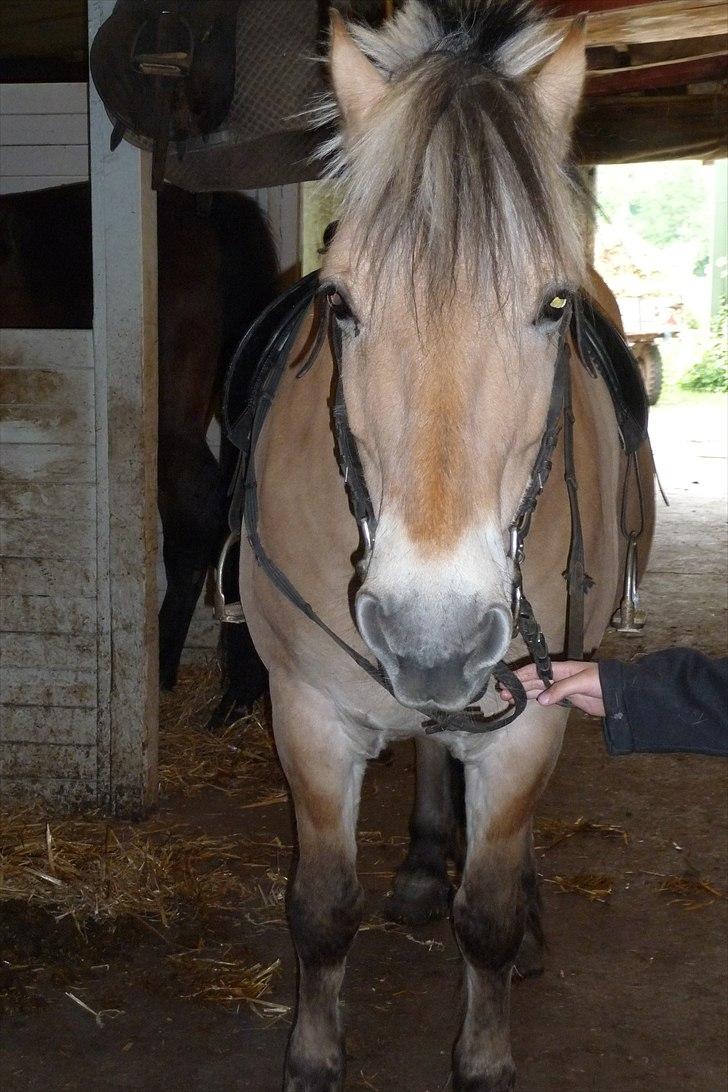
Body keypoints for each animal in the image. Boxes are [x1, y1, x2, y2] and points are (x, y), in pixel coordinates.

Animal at [239, 4, 654, 1087]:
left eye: (552, 306)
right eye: (341, 303)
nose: (431, 638)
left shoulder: (526, 722)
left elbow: (490, 917)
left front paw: (484, 1053)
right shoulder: (308, 718)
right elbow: (320, 910)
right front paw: (312, 1056)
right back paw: (427, 859)